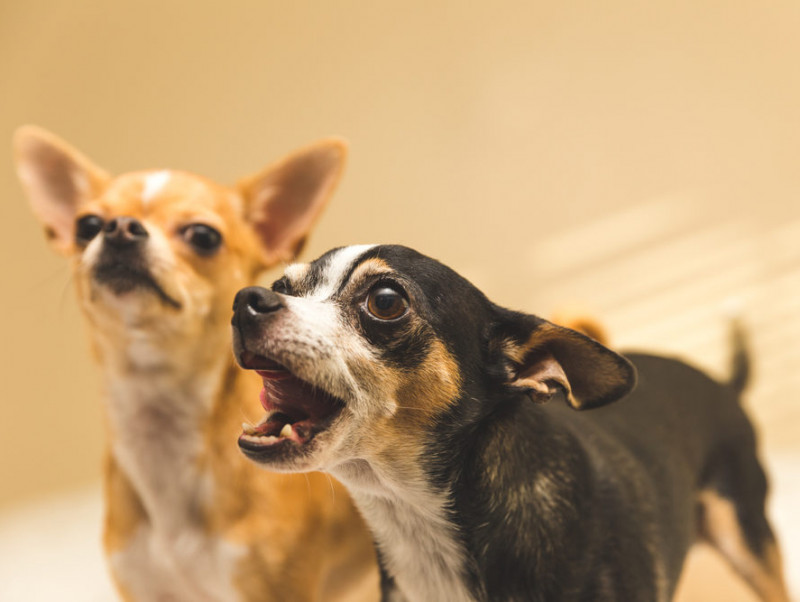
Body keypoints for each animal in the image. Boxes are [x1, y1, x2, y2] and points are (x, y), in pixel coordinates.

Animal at [230, 243, 788, 600]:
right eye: (283, 285)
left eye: (386, 301)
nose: (245, 299)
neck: (415, 522)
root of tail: (721, 381)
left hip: (750, 539)